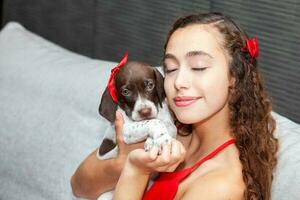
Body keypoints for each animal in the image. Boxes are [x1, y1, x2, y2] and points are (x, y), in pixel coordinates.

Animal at [96, 53, 176, 200]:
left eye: (150, 85)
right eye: (125, 91)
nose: (145, 112)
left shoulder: (170, 124)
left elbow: (163, 124)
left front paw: (154, 140)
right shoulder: (125, 130)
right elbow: (153, 122)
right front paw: (161, 139)